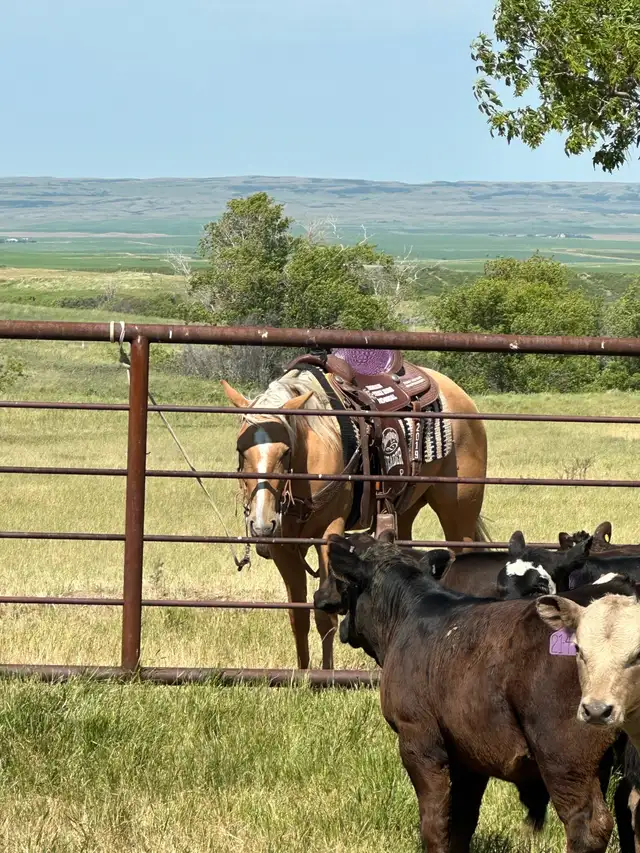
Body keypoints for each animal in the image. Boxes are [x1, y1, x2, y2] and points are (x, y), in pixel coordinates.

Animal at [222, 364, 488, 670]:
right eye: (240, 450)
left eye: (285, 451)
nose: (262, 524)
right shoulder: (283, 548)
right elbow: (297, 617)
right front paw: (302, 674)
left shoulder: (329, 534)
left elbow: (324, 616)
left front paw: (325, 675)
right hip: (406, 510)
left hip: (459, 511)